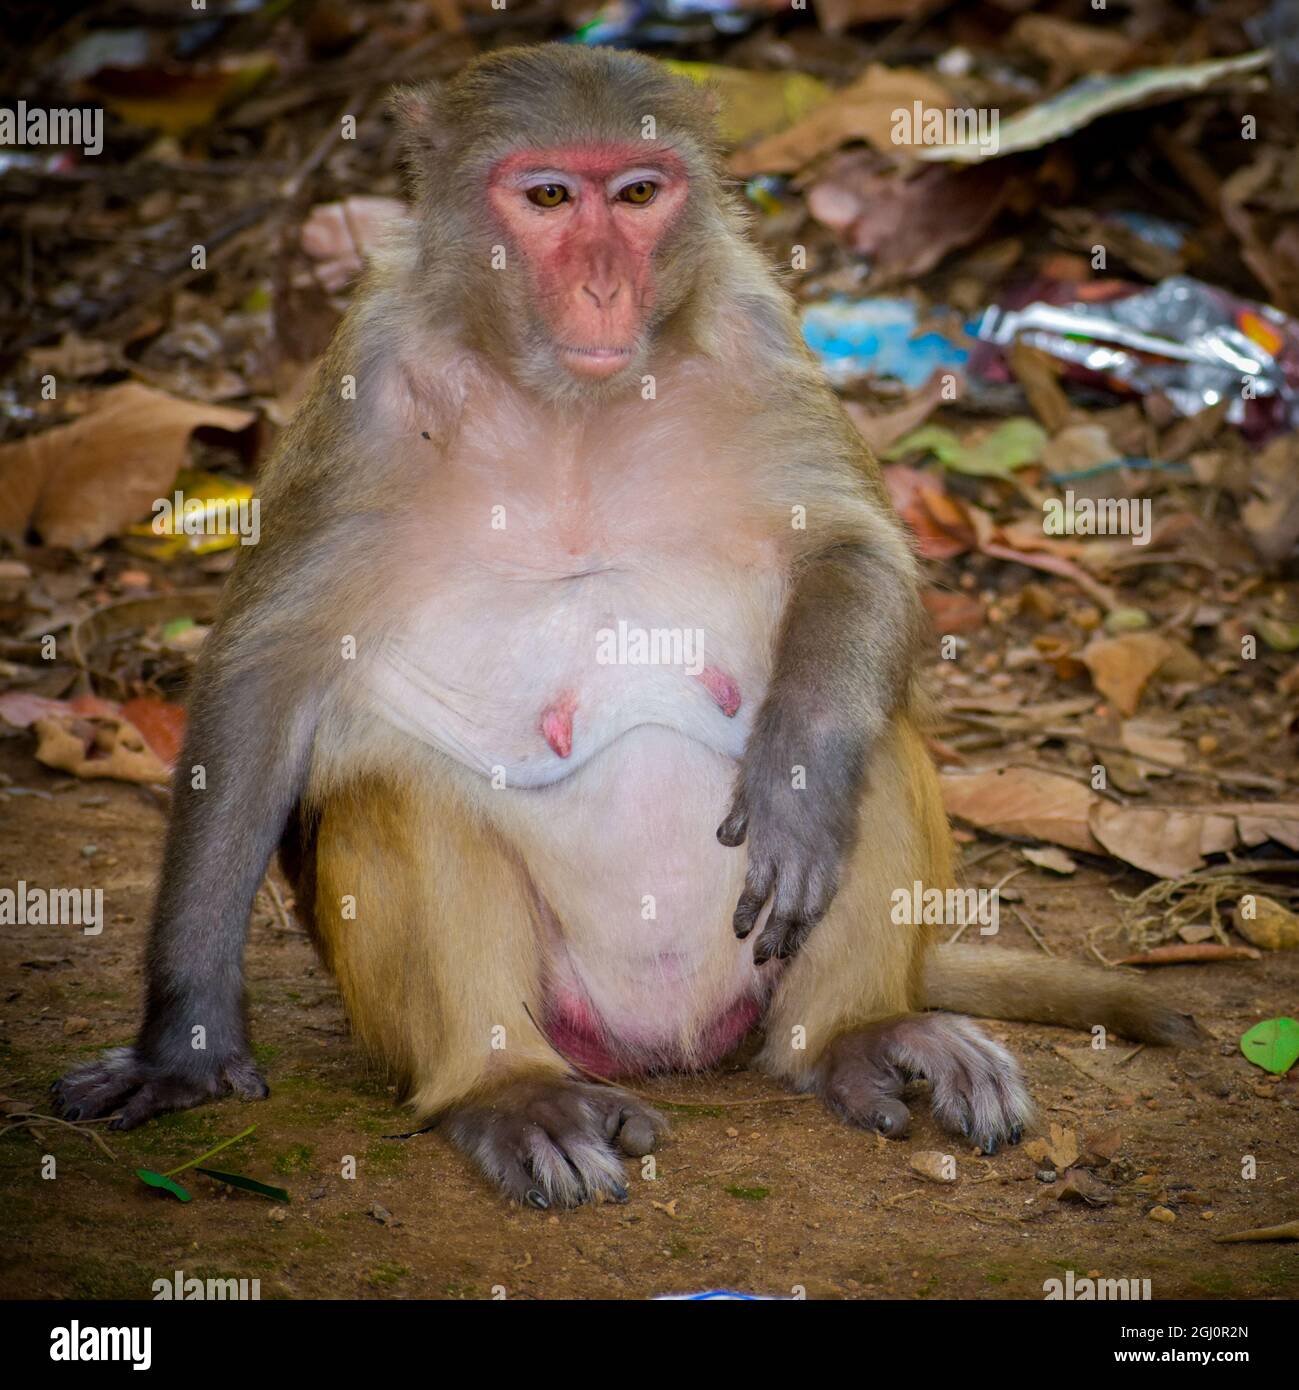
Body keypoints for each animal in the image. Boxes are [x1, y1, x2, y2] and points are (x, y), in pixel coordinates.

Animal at [54, 45, 1197, 1209]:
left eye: (641, 194)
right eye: (551, 197)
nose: (605, 286)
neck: (569, 404)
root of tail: (669, 1042)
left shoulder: (753, 323)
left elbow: (850, 549)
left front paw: (795, 780)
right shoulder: (361, 384)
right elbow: (265, 673)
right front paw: (184, 1046)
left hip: (756, 982)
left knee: (866, 747)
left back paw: (857, 1030)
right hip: (559, 1009)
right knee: (396, 797)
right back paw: (507, 1088)